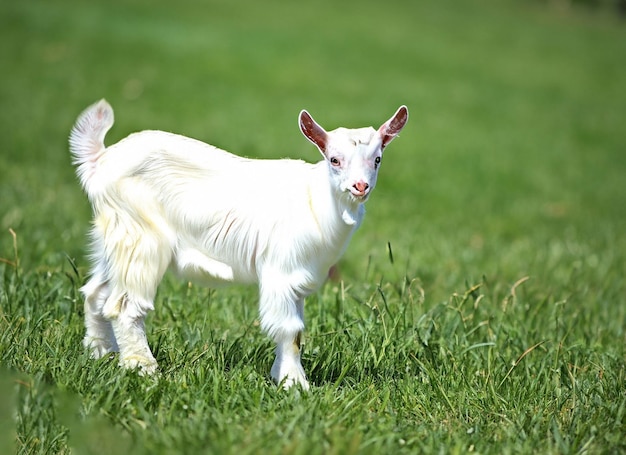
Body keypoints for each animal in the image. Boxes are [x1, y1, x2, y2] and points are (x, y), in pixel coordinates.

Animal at [70, 101, 408, 390]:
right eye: (334, 159)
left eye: (377, 159)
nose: (360, 186)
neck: (315, 199)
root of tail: (99, 160)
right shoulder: (281, 269)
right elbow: (290, 329)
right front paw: (295, 385)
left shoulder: (300, 276)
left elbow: (296, 330)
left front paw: (281, 374)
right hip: (141, 238)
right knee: (125, 305)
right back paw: (143, 369)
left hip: (115, 237)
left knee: (96, 293)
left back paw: (101, 354)